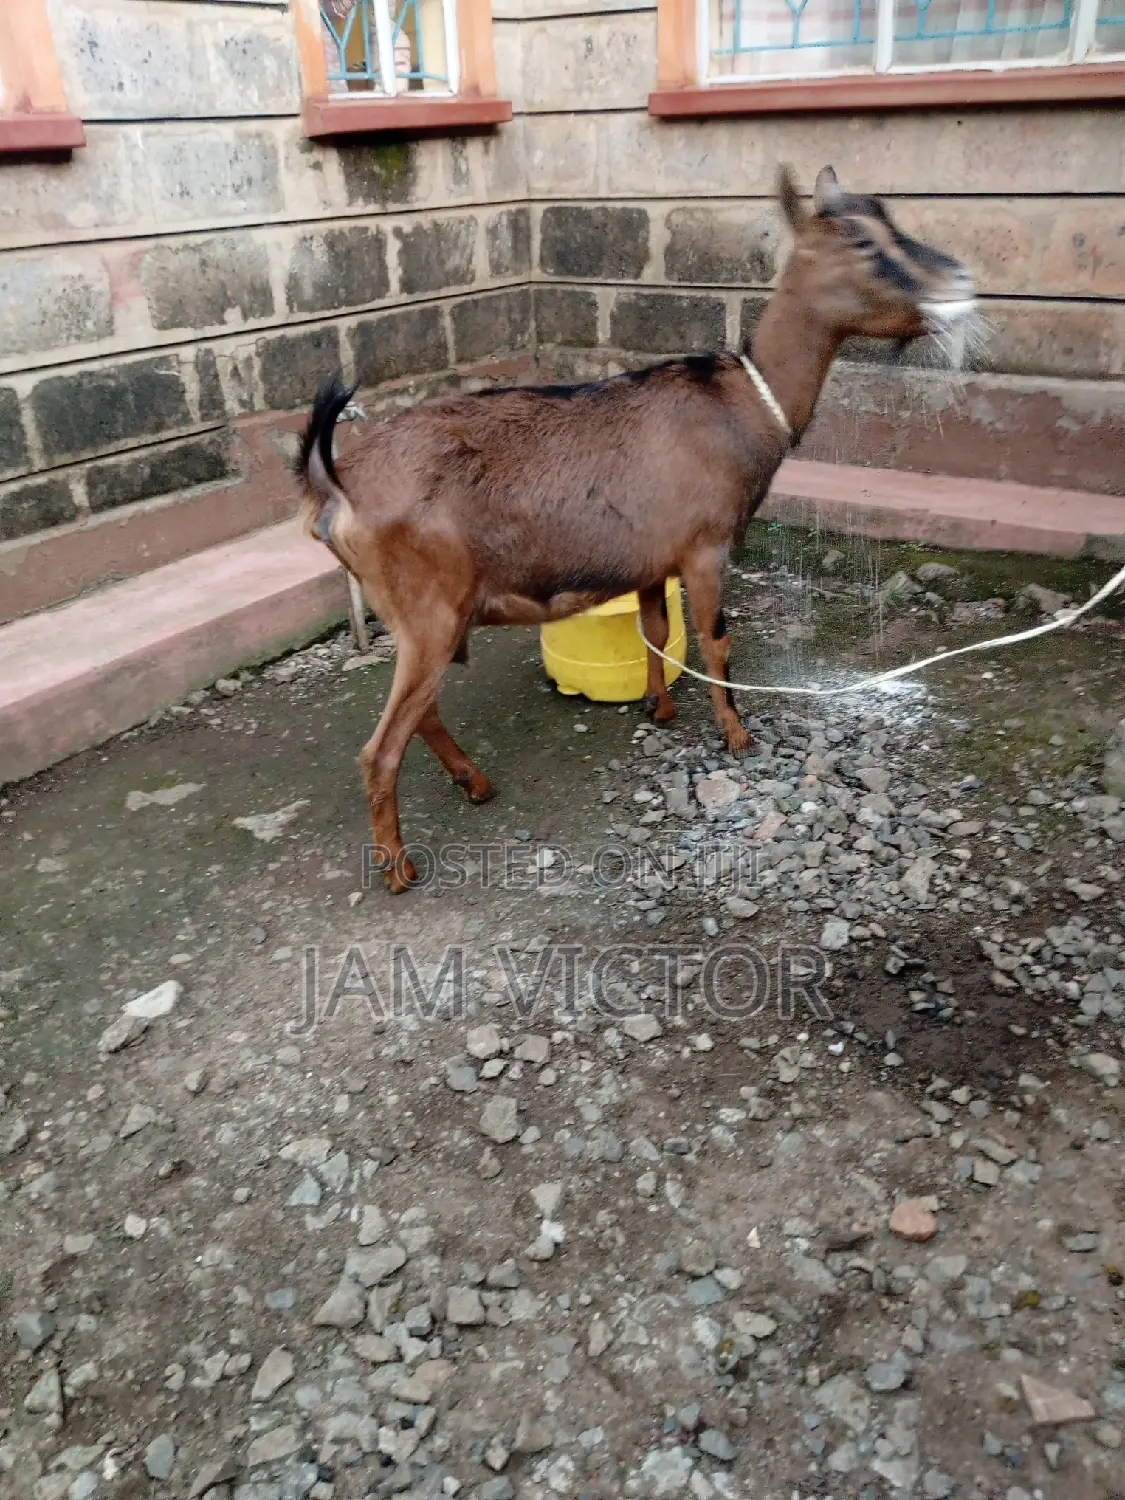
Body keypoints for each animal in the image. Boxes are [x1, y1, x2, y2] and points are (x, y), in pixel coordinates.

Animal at [297, 165, 976, 892]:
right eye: (861, 239)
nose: (958, 281)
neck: (743, 402)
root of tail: (336, 485)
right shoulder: (706, 546)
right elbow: (713, 639)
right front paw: (736, 733)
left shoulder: (654, 558)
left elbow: (653, 629)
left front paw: (659, 707)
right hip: (429, 609)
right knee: (380, 746)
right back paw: (399, 866)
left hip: (413, 615)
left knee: (419, 711)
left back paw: (474, 783)